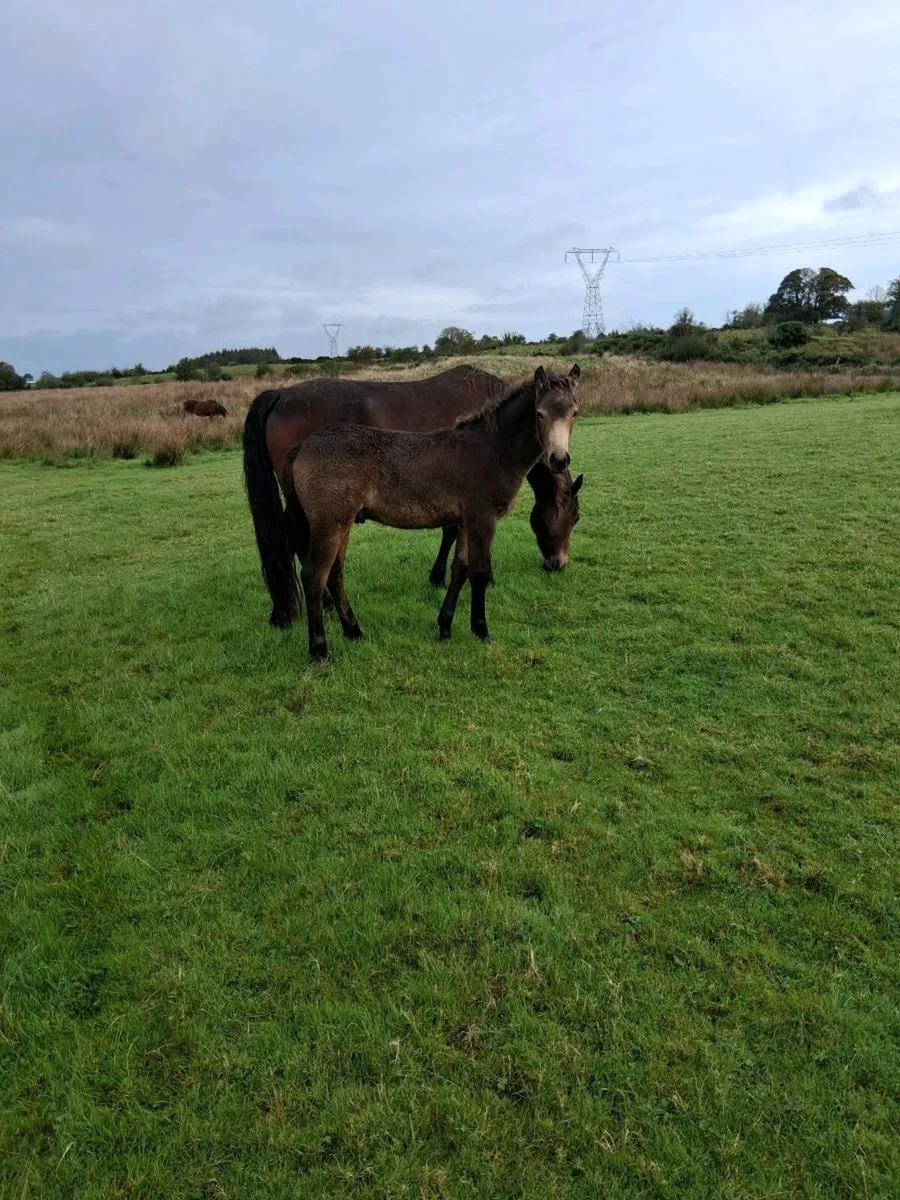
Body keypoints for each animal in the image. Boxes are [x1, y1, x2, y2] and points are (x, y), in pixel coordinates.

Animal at [242, 364, 584, 628]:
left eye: (575, 413)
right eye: (574, 518)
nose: (558, 563)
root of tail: (279, 394)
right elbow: (457, 540)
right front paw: (451, 578)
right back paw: (318, 607)